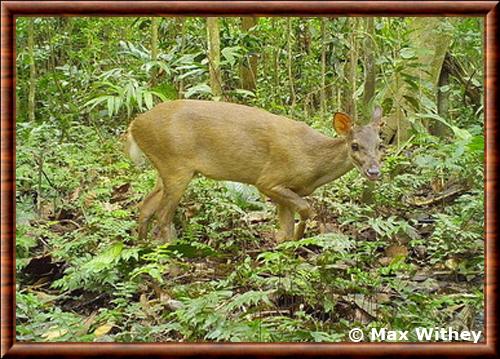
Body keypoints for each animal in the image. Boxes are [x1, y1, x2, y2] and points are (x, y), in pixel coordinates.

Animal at [126, 100, 382, 243]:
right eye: (354, 145)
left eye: (380, 144)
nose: (374, 171)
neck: (312, 160)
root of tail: (134, 125)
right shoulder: (269, 180)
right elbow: (306, 210)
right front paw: (298, 240)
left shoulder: (287, 190)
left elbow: (285, 228)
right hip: (175, 165)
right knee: (162, 214)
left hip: (165, 168)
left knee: (145, 207)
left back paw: (143, 249)